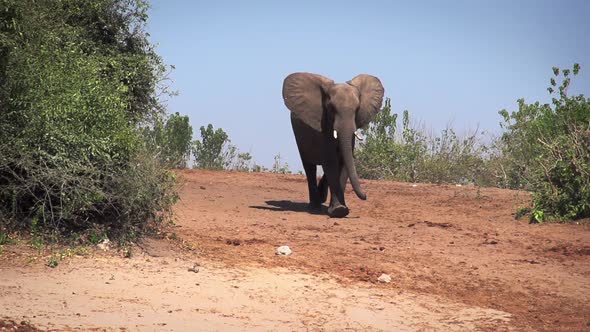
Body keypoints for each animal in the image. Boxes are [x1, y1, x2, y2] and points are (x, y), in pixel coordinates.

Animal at [284, 72, 386, 218]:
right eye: (331, 109)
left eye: (357, 109)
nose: (366, 196)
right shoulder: (324, 126)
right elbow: (330, 161)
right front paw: (339, 210)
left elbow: (343, 161)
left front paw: (341, 210)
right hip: (299, 135)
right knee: (309, 167)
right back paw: (314, 207)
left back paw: (321, 197)